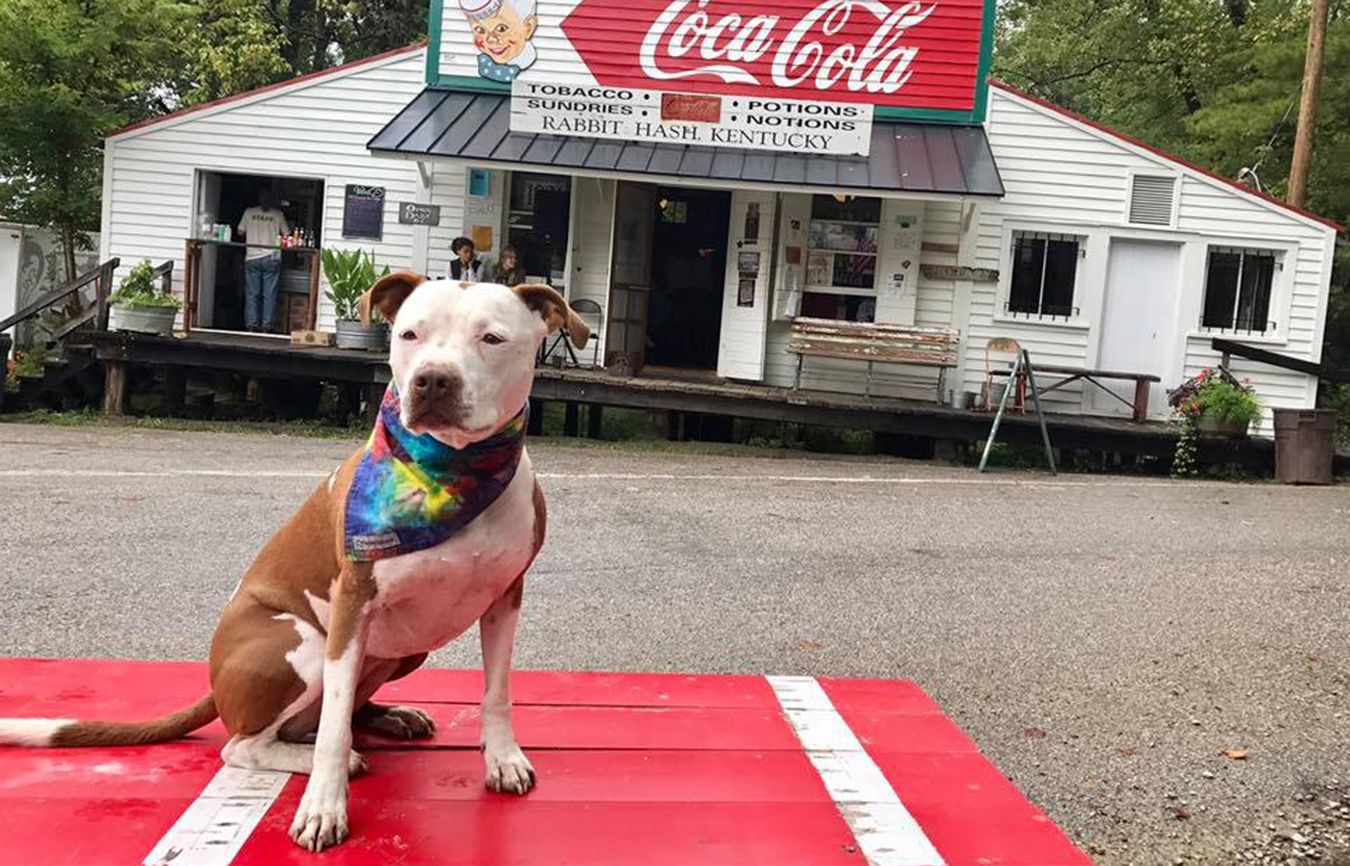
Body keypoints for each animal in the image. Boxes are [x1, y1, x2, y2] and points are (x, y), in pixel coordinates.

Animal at [1, 271, 591, 853]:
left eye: (491, 339)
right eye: (410, 335)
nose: (432, 380)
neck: (448, 471)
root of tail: (216, 688)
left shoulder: (505, 598)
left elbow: (497, 692)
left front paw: (503, 760)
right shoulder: (353, 602)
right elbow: (332, 730)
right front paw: (324, 808)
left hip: (405, 649)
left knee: (331, 711)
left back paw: (389, 717)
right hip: (301, 645)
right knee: (251, 743)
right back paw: (325, 758)